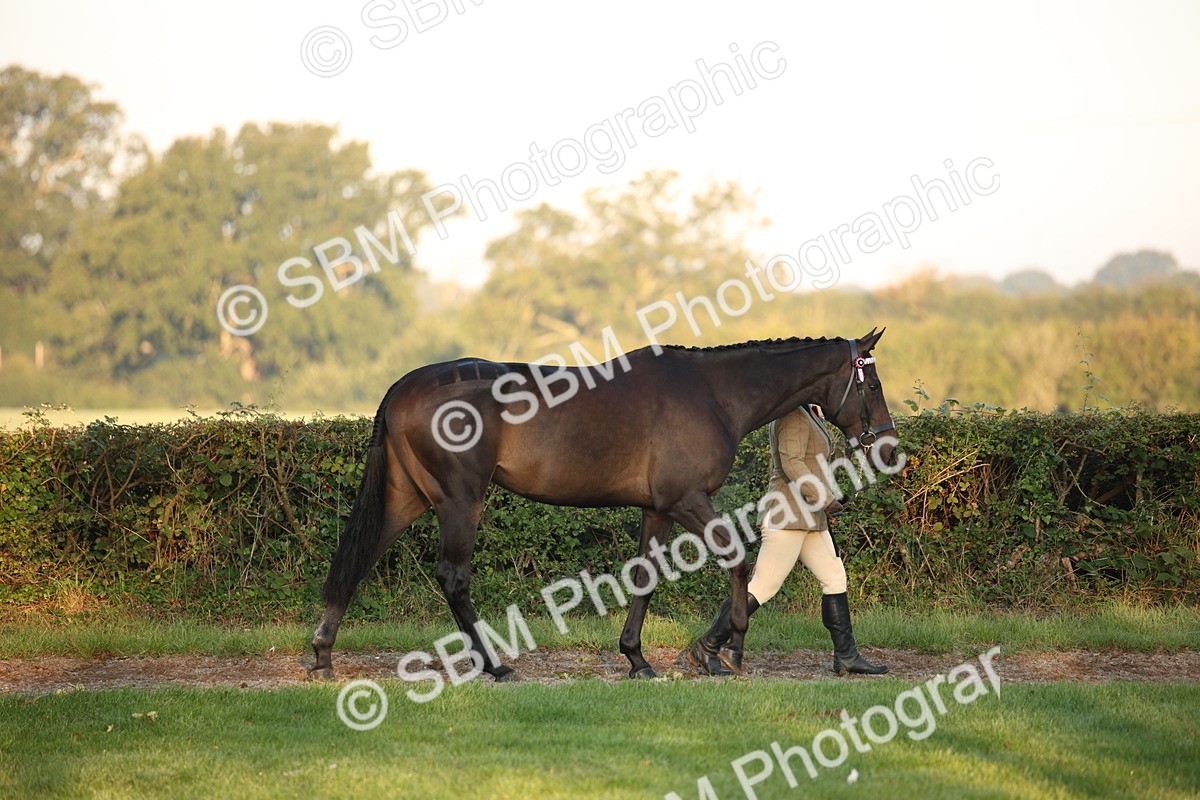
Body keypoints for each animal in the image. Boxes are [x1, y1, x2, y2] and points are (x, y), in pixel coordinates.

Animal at [310, 328, 898, 681]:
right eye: (870, 381)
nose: (889, 448)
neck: (713, 392)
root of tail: (404, 386)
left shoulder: (658, 508)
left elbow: (644, 576)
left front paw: (637, 658)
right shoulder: (688, 499)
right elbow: (737, 559)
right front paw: (726, 651)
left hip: (406, 498)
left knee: (356, 561)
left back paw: (321, 654)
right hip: (460, 500)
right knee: (453, 578)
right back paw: (496, 667)